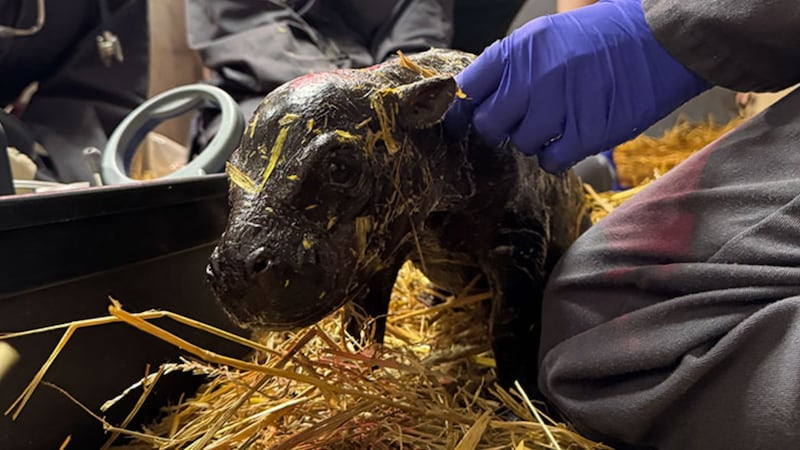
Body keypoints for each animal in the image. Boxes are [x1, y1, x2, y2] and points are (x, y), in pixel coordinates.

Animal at [206, 49, 592, 388]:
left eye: (339, 166)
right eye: (231, 169)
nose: (233, 268)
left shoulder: (518, 240)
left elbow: (510, 327)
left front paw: (516, 398)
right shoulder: (378, 259)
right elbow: (362, 329)